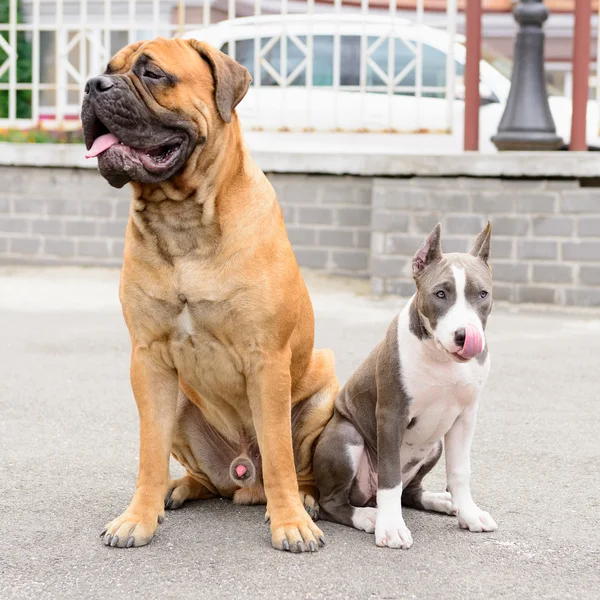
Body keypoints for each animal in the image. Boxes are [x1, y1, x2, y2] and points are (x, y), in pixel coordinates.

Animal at [82, 38, 340, 552]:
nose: (93, 85)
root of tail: (243, 477)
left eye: (153, 73)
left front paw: (291, 523)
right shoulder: (148, 359)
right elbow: (149, 451)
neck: (182, 218)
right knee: (202, 477)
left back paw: (305, 501)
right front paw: (138, 516)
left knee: (293, 465)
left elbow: (279, 452)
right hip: (183, 403)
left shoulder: (267, 360)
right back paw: (177, 488)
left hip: (324, 379)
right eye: (107, 68)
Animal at [314, 221, 496, 548]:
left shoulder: (466, 417)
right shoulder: (391, 415)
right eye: (440, 293)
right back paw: (368, 517)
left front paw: (469, 513)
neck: (441, 358)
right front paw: (390, 528)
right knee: (333, 502)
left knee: (410, 492)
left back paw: (440, 501)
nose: (465, 335)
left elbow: (460, 470)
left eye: (482, 294)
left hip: (434, 444)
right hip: (347, 436)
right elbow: (389, 477)